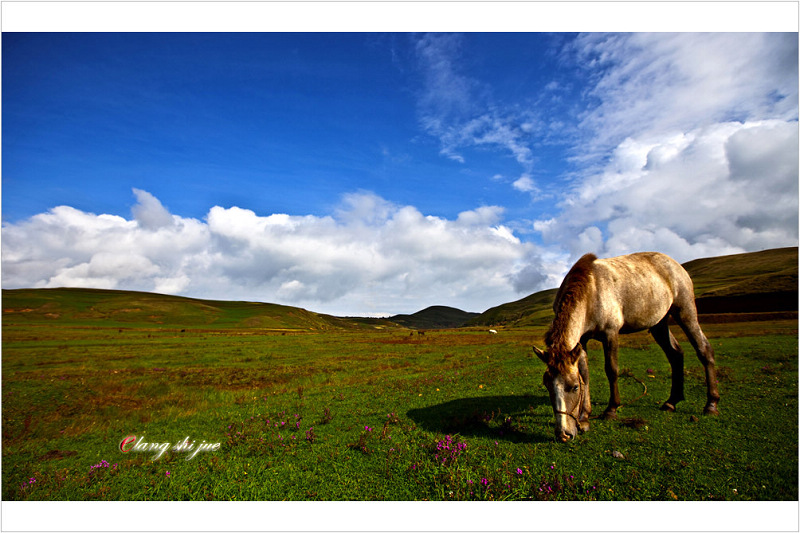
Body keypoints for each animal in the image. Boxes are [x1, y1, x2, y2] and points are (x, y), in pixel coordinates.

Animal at [536, 252, 720, 440]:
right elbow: (584, 375)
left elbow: (611, 370)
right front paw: (584, 418)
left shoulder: (610, 334)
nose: (563, 434)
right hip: (659, 324)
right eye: (548, 385)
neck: (590, 292)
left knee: (704, 350)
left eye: (574, 387)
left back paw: (711, 404)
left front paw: (611, 410)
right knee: (675, 354)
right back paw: (671, 402)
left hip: (685, 312)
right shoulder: (582, 340)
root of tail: (675, 264)